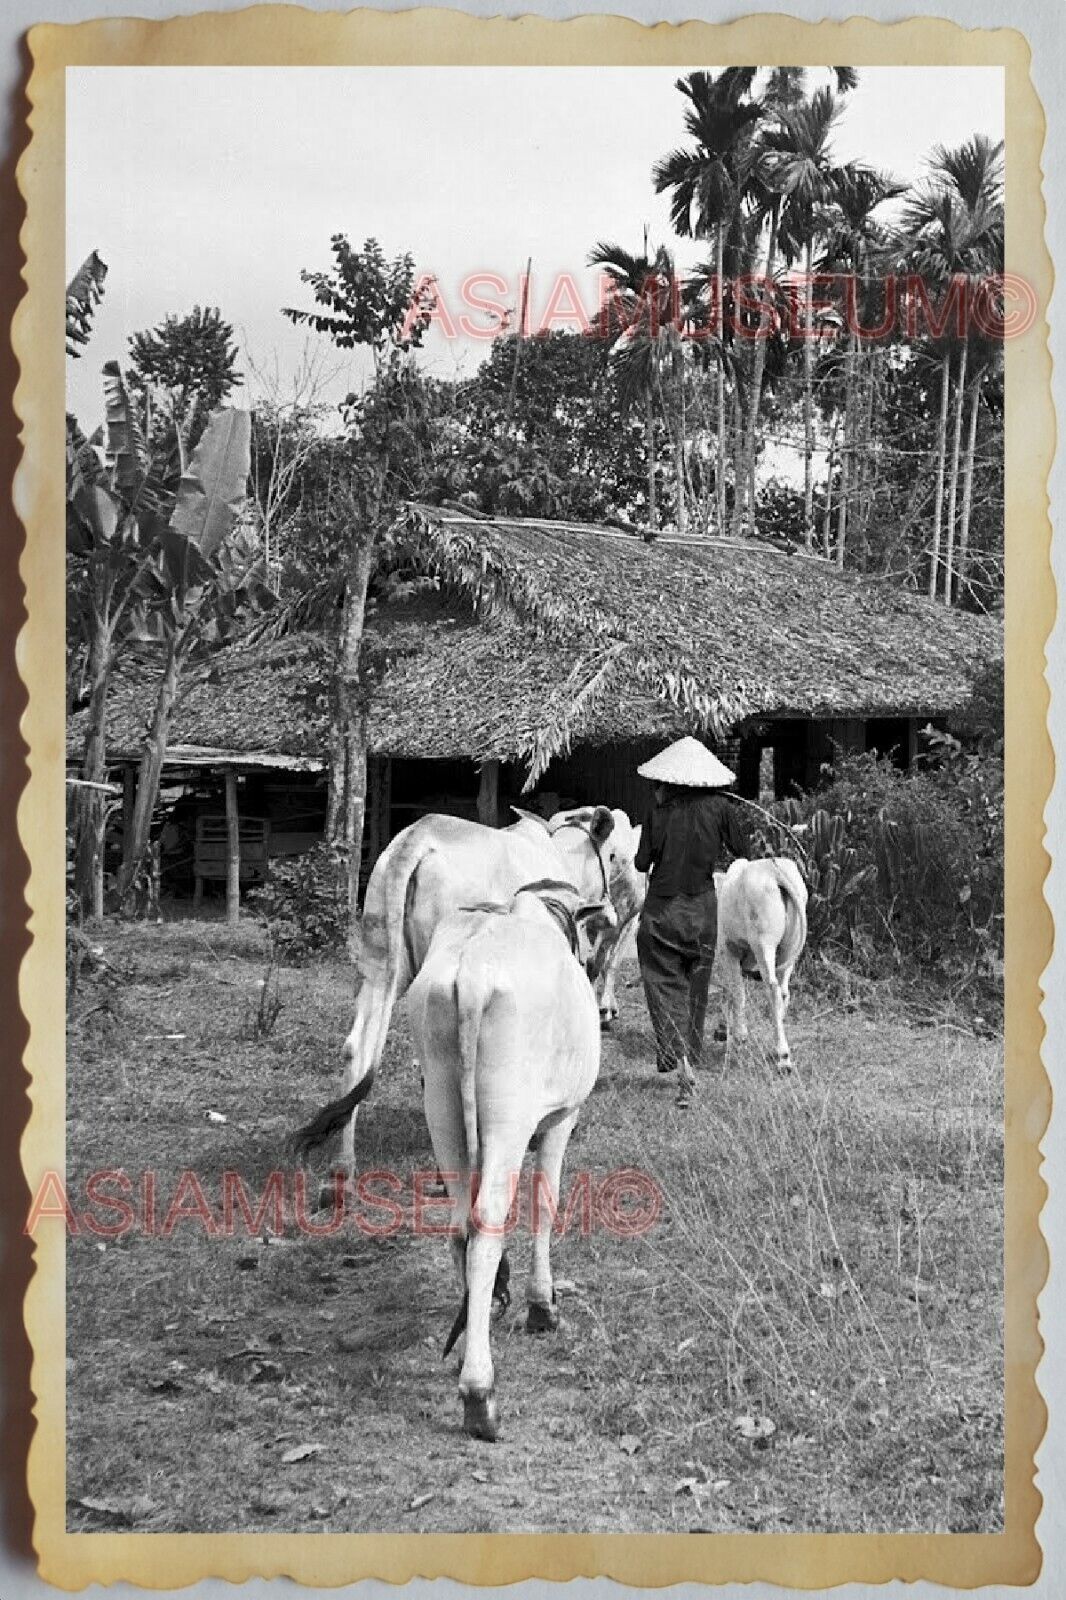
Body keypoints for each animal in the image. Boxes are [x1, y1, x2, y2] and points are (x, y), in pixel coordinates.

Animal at [328, 800, 640, 1190]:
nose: (618, 911)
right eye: (614, 856)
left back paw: (341, 1168)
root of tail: (417, 839)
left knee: (358, 1047)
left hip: (380, 960)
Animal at [406, 883, 614, 1446]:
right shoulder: (562, 1117)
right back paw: (479, 1394)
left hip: (442, 1105)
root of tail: (473, 973)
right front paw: (542, 1305)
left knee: (461, 1228)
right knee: (487, 1228)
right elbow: (546, 1203)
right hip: (509, 1117)